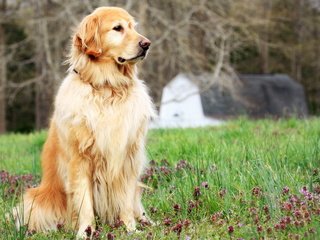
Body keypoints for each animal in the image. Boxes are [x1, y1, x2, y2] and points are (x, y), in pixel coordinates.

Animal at [11, 5, 154, 238]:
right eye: (118, 28)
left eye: (133, 27)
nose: (147, 44)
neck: (107, 87)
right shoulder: (80, 160)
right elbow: (85, 202)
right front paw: (86, 232)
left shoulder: (126, 158)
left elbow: (125, 201)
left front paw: (131, 229)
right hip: (36, 200)